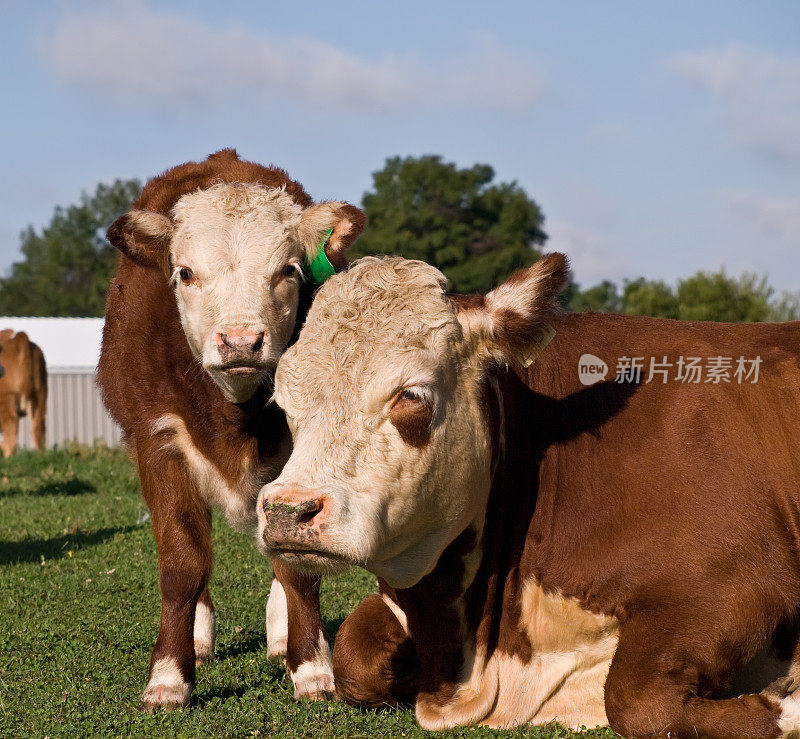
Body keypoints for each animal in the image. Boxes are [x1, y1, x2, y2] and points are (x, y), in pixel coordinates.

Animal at [96, 150, 366, 712]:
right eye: (185, 272)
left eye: (288, 270)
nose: (241, 341)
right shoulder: (159, 442)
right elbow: (182, 564)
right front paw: (168, 677)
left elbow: (296, 567)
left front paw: (311, 667)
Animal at [260, 251, 800, 736]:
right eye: (282, 403)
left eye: (411, 395)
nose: (287, 510)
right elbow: (353, 656)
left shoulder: (737, 585)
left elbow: (638, 702)